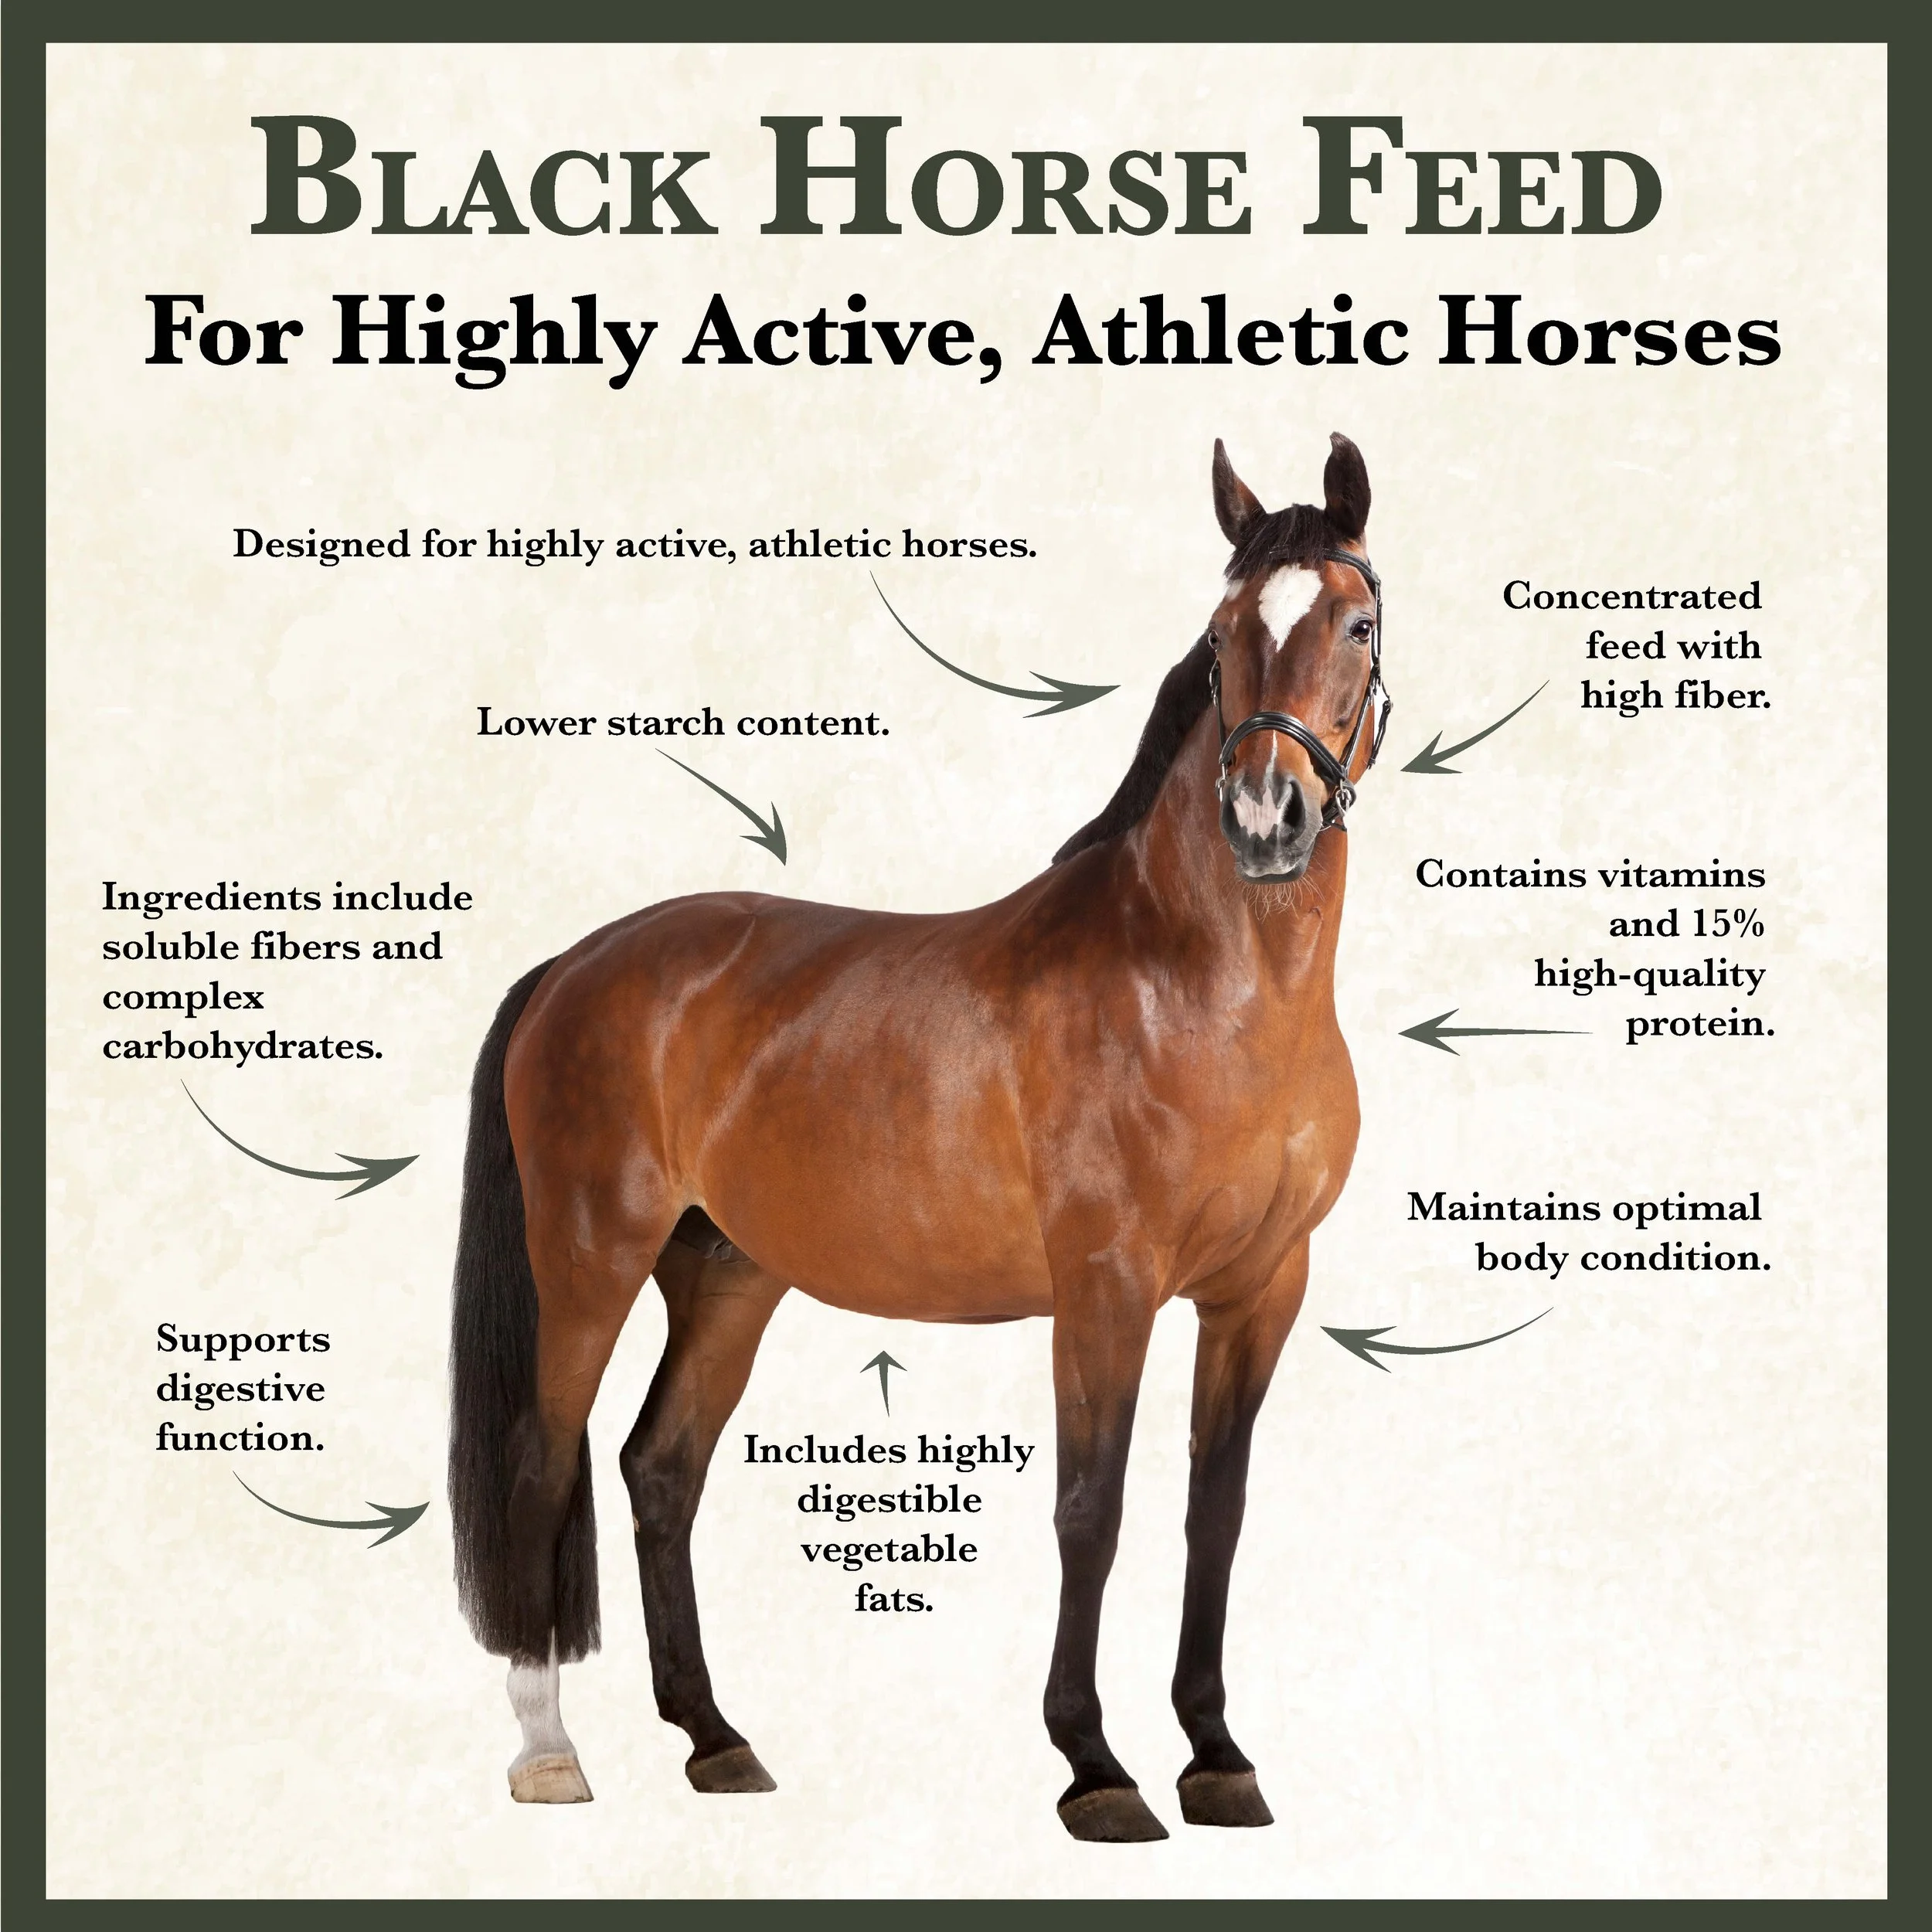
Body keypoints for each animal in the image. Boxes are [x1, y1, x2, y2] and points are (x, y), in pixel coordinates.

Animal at [448, 432, 1391, 1842]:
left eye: (1356, 621)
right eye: (1224, 637)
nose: (1266, 818)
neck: (1199, 991)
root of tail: (578, 962)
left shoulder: (1260, 1291)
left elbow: (1210, 1514)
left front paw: (1217, 1756)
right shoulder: (1104, 1290)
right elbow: (1091, 1510)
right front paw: (1096, 1768)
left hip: (727, 1276)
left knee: (659, 1471)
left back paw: (716, 1738)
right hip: (588, 1264)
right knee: (541, 1467)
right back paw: (551, 1752)